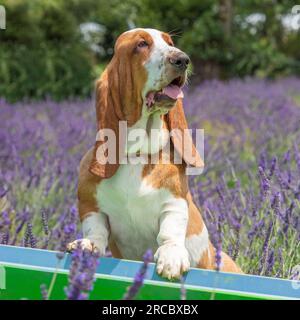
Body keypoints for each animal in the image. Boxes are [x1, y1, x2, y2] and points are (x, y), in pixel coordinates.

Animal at [68, 28, 241, 278]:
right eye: (141, 44)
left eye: (170, 42)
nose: (182, 60)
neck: (137, 154)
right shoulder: (90, 204)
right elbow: (96, 229)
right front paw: (87, 245)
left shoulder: (175, 203)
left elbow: (170, 231)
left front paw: (171, 256)